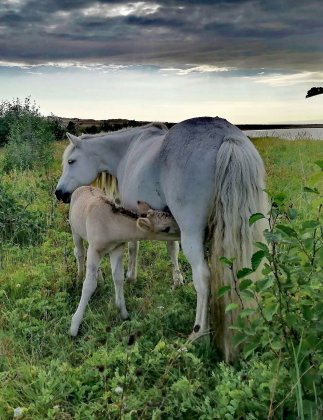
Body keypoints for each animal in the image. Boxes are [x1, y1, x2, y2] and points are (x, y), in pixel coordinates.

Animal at [68, 185, 181, 336]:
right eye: (166, 228)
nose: (182, 232)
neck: (110, 226)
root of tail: (84, 186)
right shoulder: (94, 249)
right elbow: (89, 285)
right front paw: (74, 327)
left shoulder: (117, 248)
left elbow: (118, 278)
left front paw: (123, 313)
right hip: (75, 231)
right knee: (79, 252)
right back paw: (79, 277)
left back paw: (101, 281)